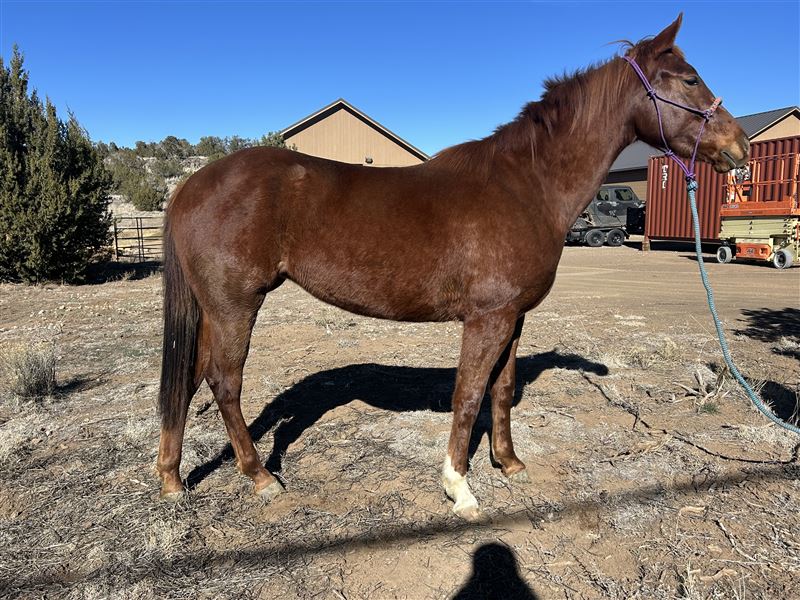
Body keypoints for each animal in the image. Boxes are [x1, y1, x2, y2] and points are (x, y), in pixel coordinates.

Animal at [156, 15, 748, 521]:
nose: (740, 146)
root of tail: (190, 186)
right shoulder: (486, 319)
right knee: (224, 382)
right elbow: (467, 395)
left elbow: (501, 390)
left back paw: (172, 478)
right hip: (236, 304)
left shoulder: (514, 317)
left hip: (215, 309)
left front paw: (509, 463)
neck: (526, 185)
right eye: (690, 79)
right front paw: (459, 487)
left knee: (189, 377)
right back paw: (259, 477)